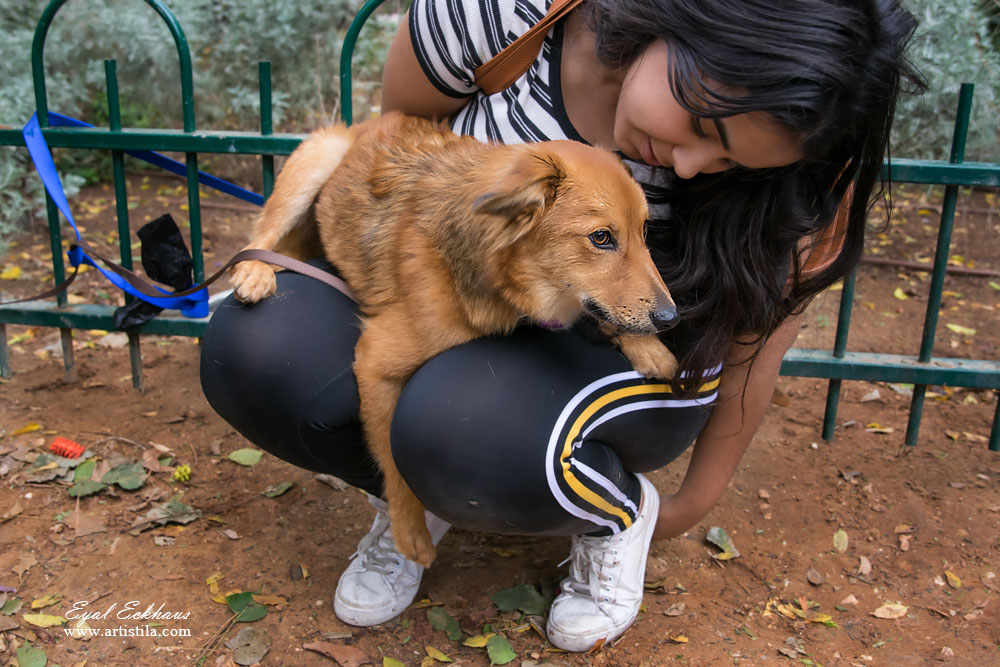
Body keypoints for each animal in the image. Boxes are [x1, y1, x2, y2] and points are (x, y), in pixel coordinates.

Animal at [230, 113, 676, 568]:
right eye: (601, 238)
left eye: (644, 231)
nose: (670, 317)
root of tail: (368, 124)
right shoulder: (375, 362)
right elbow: (393, 462)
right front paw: (409, 535)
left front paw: (650, 349)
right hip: (317, 158)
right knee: (260, 238)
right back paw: (253, 272)